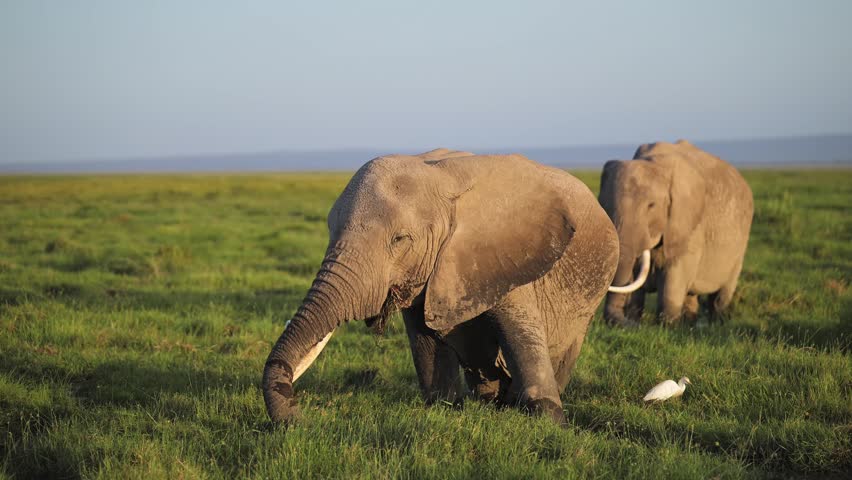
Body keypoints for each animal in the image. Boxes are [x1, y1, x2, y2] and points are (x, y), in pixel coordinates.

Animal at [263, 149, 619, 425]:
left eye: (400, 240)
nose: (299, 419)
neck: (441, 179)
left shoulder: (510, 253)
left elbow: (522, 337)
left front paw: (549, 421)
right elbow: (426, 345)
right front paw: (448, 409)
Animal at [598, 140, 753, 326]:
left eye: (651, 206)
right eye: (603, 204)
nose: (631, 325)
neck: (654, 163)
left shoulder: (688, 223)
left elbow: (675, 274)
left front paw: (666, 326)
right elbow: (636, 278)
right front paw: (635, 319)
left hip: (740, 244)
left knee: (721, 295)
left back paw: (716, 324)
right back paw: (689, 324)